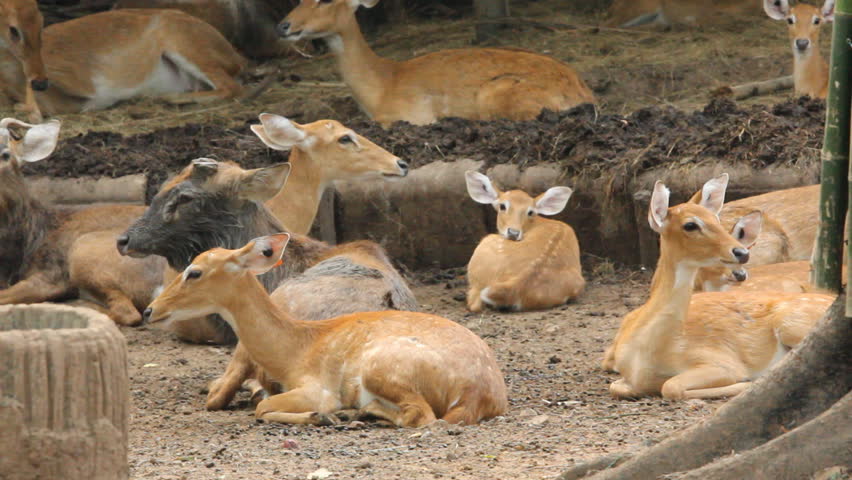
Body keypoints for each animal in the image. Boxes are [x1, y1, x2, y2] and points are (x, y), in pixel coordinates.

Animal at [0, 0, 246, 122]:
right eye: (13, 28)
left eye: (41, 23)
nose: (40, 82)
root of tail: (235, 55)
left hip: (186, 45)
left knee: (233, 87)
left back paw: (168, 98)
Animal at [143, 233, 507, 426]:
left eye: (194, 272)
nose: (150, 310)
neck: (295, 350)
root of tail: (479, 394)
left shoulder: (316, 388)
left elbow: (261, 408)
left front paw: (321, 416)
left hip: (381, 367)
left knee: (420, 416)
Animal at [464, 171, 584, 312]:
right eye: (502, 206)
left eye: (530, 212)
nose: (513, 233)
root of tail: (516, 286)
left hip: (484, 247)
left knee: (474, 303)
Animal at [602, 174, 835, 399]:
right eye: (690, 225)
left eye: (715, 219)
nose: (742, 253)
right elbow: (619, 387)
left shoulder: (720, 361)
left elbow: (671, 386)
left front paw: (744, 383)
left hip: (792, 323)